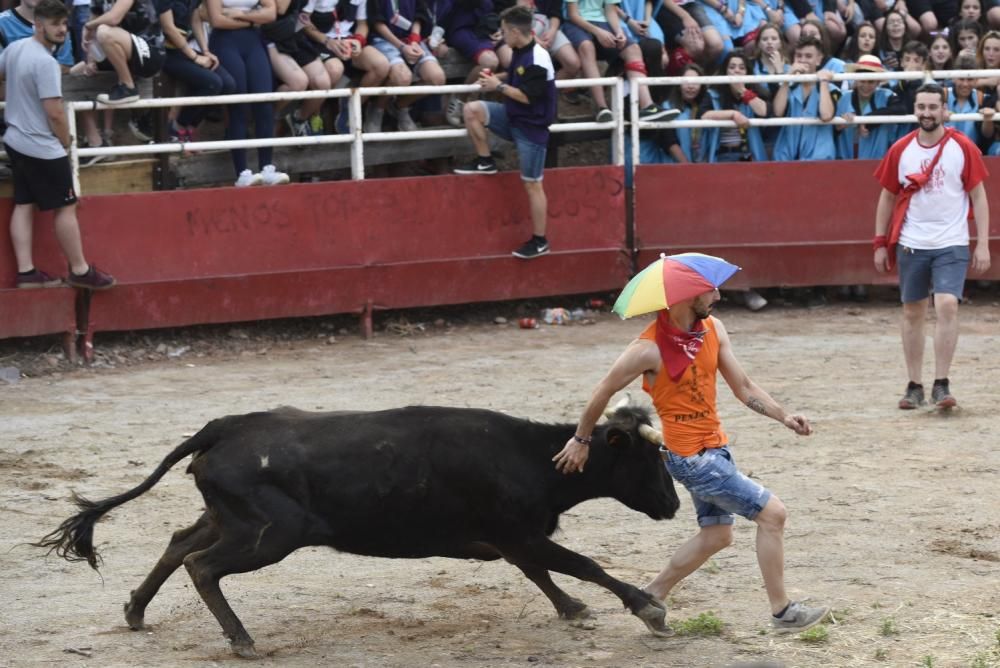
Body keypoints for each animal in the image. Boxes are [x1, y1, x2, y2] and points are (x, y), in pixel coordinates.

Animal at [37, 404, 680, 656]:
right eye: (652, 460)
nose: (674, 505)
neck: (531, 456)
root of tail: (223, 426)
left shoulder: (512, 538)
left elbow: (545, 573)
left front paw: (573, 609)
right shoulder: (517, 532)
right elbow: (578, 563)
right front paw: (648, 609)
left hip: (231, 519)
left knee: (178, 545)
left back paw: (135, 611)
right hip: (274, 533)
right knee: (202, 565)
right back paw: (242, 641)